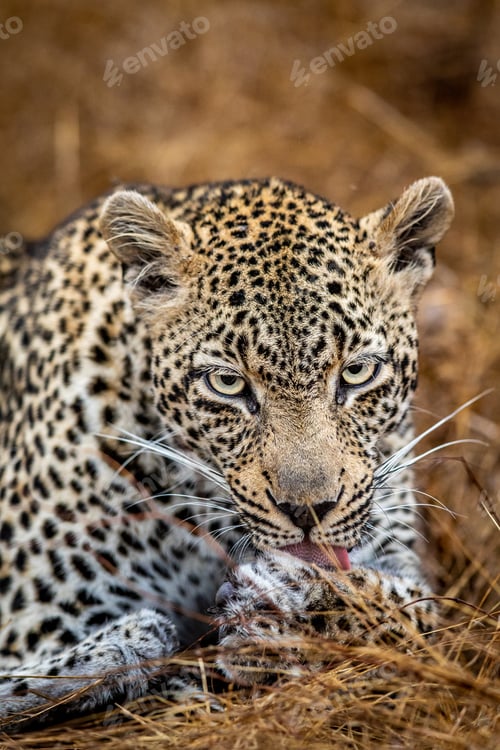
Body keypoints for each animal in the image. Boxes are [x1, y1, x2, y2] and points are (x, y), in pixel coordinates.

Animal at [0, 175, 454, 728]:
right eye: (227, 383)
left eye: (357, 372)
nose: (308, 510)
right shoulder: (35, 619)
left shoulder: (394, 556)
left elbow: (413, 614)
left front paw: (287, 611)